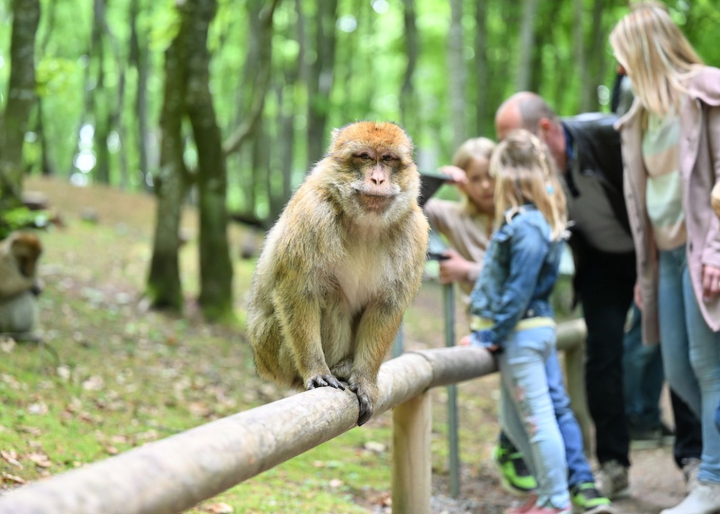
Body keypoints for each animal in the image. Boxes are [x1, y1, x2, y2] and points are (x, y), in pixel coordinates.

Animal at [248, 121, 428, 424]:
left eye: (388, 159)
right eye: (365, 157)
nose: (377, 179)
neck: (365, 223)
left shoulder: (414, 232)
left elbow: (387, 305)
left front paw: (365, 380)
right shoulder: (312, 214)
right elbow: (298, 291)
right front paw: (317, 370)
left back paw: (346, 367)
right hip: (272, 347)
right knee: (332, 297)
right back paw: (333, 367)